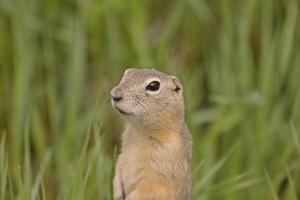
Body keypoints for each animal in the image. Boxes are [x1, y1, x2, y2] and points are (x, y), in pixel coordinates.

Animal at [110, 68, 192, 199]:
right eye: (126, 74)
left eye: (153, 86)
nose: (114, 94)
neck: (140, 133)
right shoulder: (123, 154)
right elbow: (118, 169)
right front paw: (117, 192)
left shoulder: (162, 169)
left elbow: (149, 189)